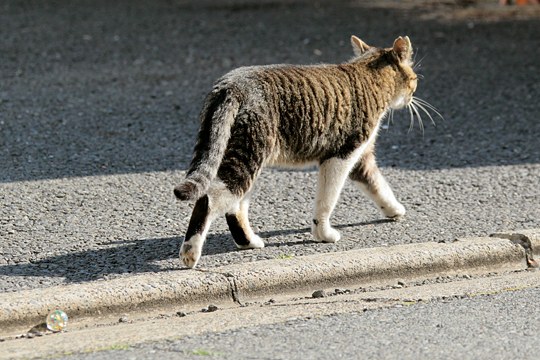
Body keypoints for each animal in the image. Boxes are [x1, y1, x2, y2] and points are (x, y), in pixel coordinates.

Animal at [175, 35, 424, 268]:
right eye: (415, 80)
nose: (413, 95)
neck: (367, 74)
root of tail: (228, 86)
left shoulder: (360, 158)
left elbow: (378, 185)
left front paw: (393, 209)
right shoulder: (341, 156)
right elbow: (327, 201)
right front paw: (323, 234)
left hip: (245, 158)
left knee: (235, 207)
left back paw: (249, 241)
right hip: (248, 156)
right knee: (209, 198)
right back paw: (190, 252)